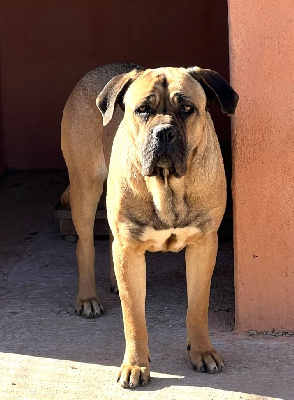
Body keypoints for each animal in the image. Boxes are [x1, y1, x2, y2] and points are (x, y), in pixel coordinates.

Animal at [60, 63, 238, 388]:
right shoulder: (129, 249)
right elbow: (133, 316)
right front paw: (135, 365)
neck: (167, 185)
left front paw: (202, 351)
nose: (164, 132)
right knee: (85, 244)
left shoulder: (203, 246)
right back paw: (88, 298)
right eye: (142, 110)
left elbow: (198, 307)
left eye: (187, 109)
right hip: (85, 185)